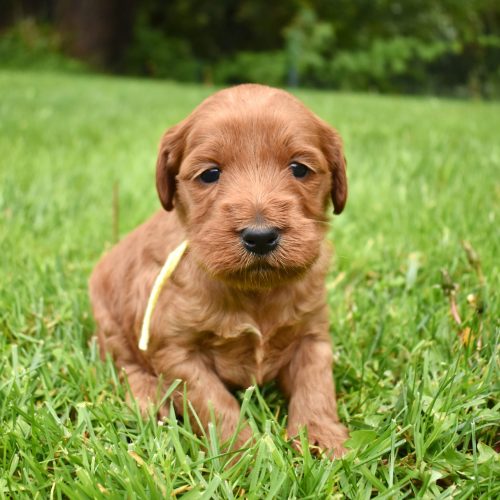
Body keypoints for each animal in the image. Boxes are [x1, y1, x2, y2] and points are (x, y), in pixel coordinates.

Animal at [89, 83, 348, 458]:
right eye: (210, 174)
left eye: (299, 169)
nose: (260, 236)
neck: (255, 292)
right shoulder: (177, 351)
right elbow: (215, 405)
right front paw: (244, 455)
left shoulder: (312, 334)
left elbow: (316, 385)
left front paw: (321, 438)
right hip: (108, 319)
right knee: (125, 364)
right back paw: (149, 399)